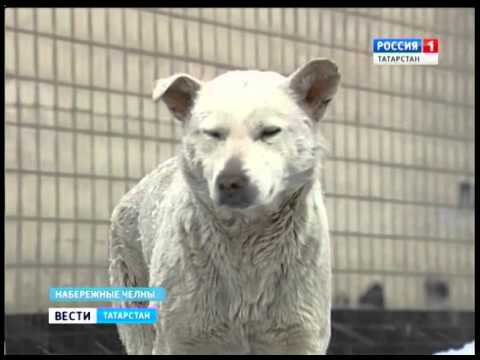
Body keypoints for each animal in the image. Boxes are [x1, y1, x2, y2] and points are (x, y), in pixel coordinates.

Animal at [109, 58, 342, 354]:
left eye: (270, 132)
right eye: (213, 134)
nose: (230, 181)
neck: (246, 241)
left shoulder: (299, 335)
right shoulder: (180, 336)